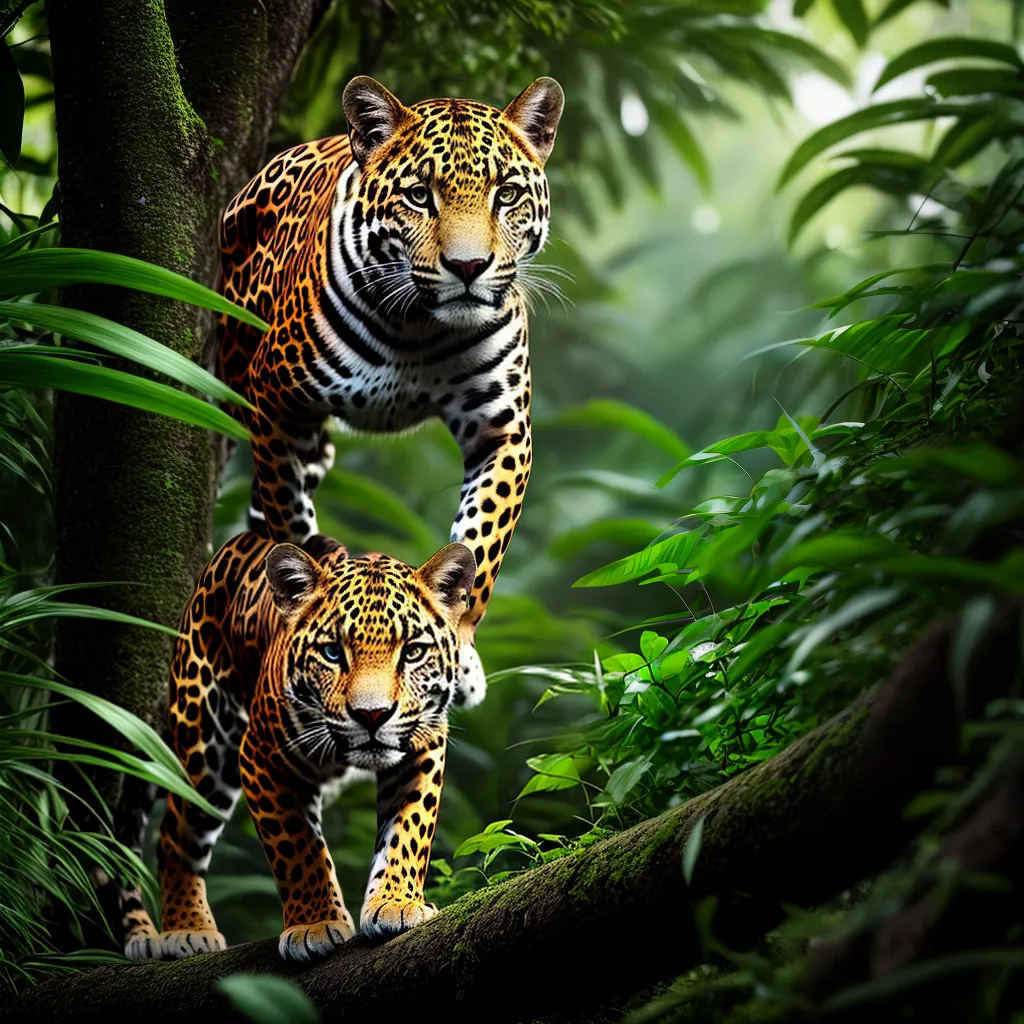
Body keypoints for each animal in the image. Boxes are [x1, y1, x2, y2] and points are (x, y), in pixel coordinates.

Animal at [118, 529, 476, 963]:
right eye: (333, 652)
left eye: (413, 652)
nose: (372, 715)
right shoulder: (262, 756)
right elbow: (297, 847)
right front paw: (314, 925)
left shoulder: (421, 749)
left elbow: (408, 831)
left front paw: (396, 902)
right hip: (204, 741)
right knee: (175, 831)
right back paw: (187, 929)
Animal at [218, 75, 564, 713]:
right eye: (420, 195)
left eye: (505, 194)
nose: (469, 267)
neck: (418, 328)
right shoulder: (274, 399)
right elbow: (285, 514)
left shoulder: (501, 429)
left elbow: (480, 547)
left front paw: (457, 651)